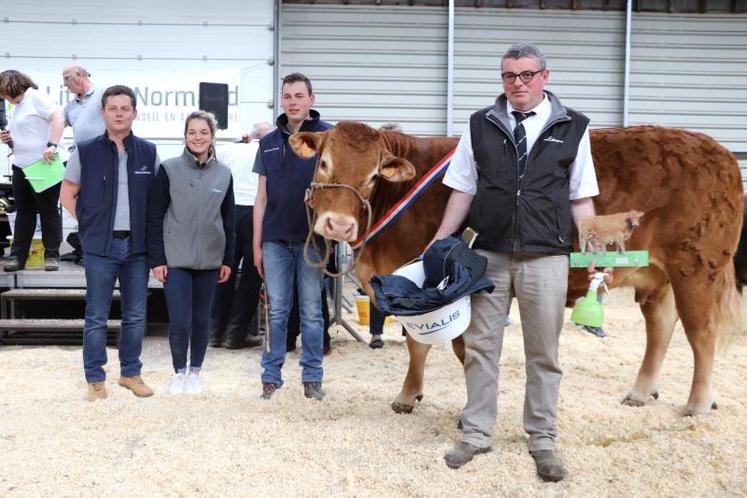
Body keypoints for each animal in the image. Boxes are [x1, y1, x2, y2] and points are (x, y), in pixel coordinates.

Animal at [290, 121, 744, 416]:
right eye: (325, 163)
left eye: (372, 175)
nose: (337, 225)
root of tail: (717, 151)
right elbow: (421, 344)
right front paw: (409, 395)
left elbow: (452, 348)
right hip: (658, 275)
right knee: (661, 327)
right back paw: (641, 390)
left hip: (696, 268)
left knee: (701, 334)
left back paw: (698, 402)